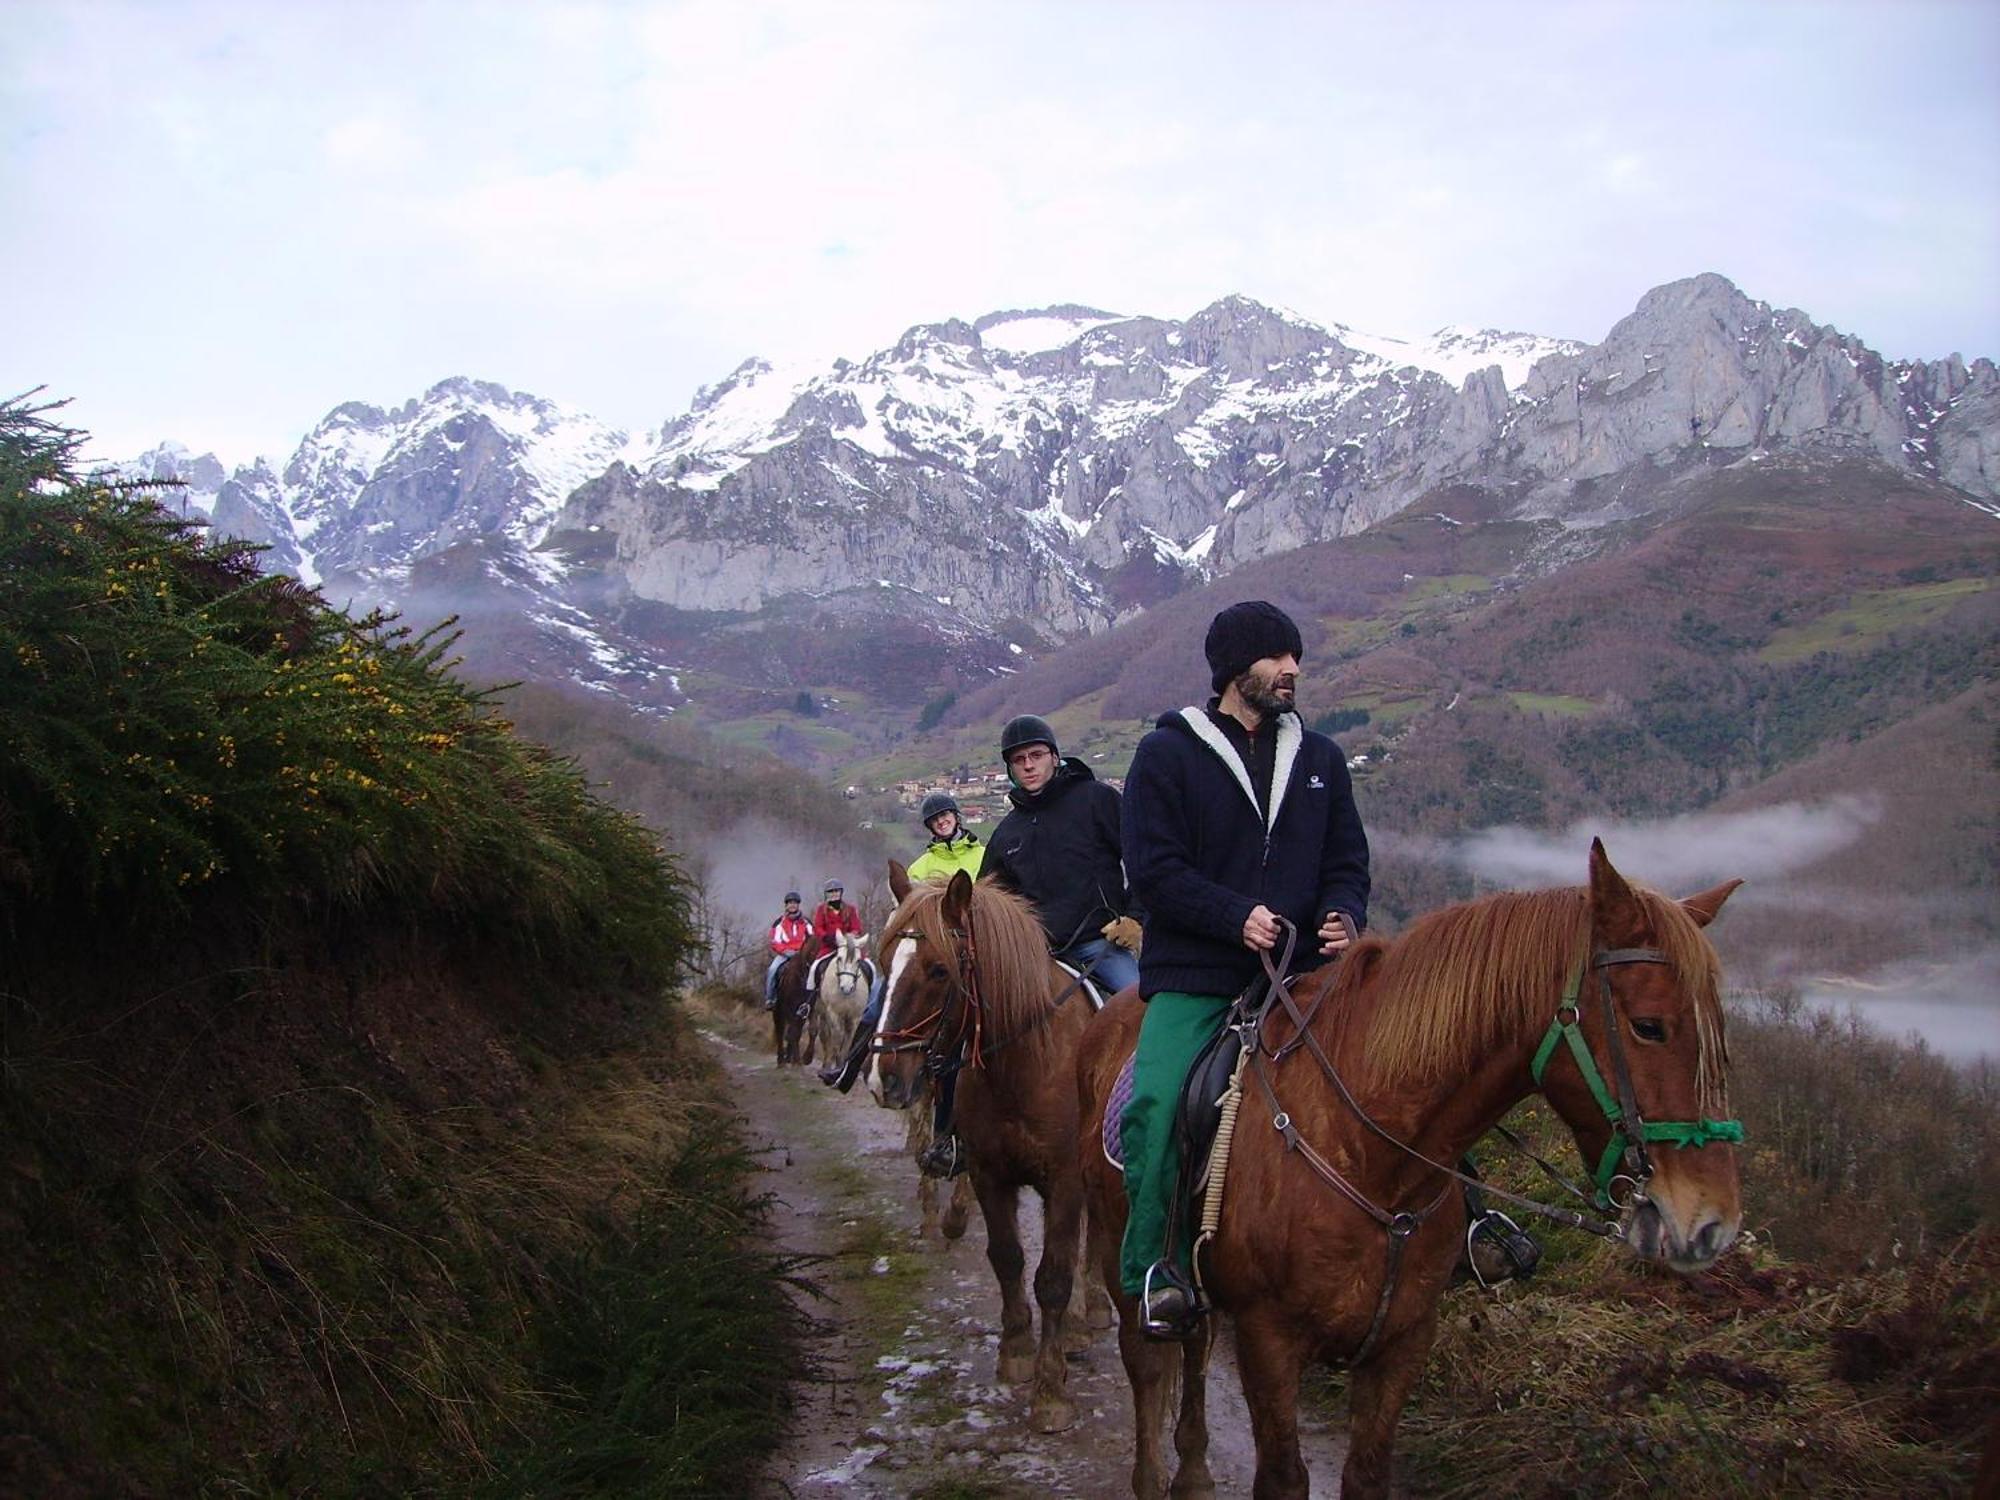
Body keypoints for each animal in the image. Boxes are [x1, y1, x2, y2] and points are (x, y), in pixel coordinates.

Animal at [872, 856, 1104, 1432]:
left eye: (938, 970)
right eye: (885, 961)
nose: (885, 1079)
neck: (1025, 1061)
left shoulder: (1065, 1182)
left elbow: (1054, 1277)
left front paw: (1050, 1392)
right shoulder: (989, 1174)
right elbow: (1007, 1258)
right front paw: (1017, 1351)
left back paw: (1090, 1314)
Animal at [1072, 848, 1744, 1500]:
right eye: (1649, 1026)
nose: (1711, 1222)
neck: (1373, 1158)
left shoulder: (1403, 1343)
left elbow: (1368, 1474)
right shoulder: (1269, 1341)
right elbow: (1283, 1477)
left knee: (1196, 1349)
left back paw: (1192, 1474)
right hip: (1124, 1258)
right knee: (1148, 1364)